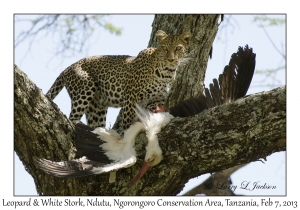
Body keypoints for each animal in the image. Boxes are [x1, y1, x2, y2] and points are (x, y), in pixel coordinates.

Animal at [47, 29, 192, 133]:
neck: (166, 73)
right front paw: (126, 137)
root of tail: (68, 68)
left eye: (178, 48)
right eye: (165, 48)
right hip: (86, 88)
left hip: (97, 108)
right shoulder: (131, 98)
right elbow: (127, 122)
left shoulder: (156, 100)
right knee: (72, 117)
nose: (171, 60)